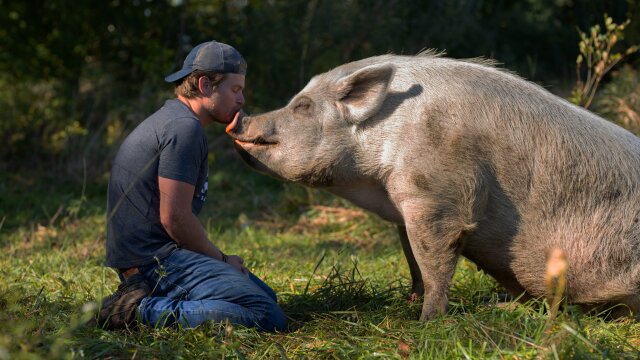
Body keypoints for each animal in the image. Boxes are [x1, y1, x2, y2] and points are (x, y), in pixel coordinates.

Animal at [225, 54, 640, 320]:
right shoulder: (403, 207)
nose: (242, 118)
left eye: (302, 107)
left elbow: (434, 256)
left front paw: (426, 320)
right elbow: (413, 257)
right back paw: (503, 306)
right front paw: (409, 302)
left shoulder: (438, 194)